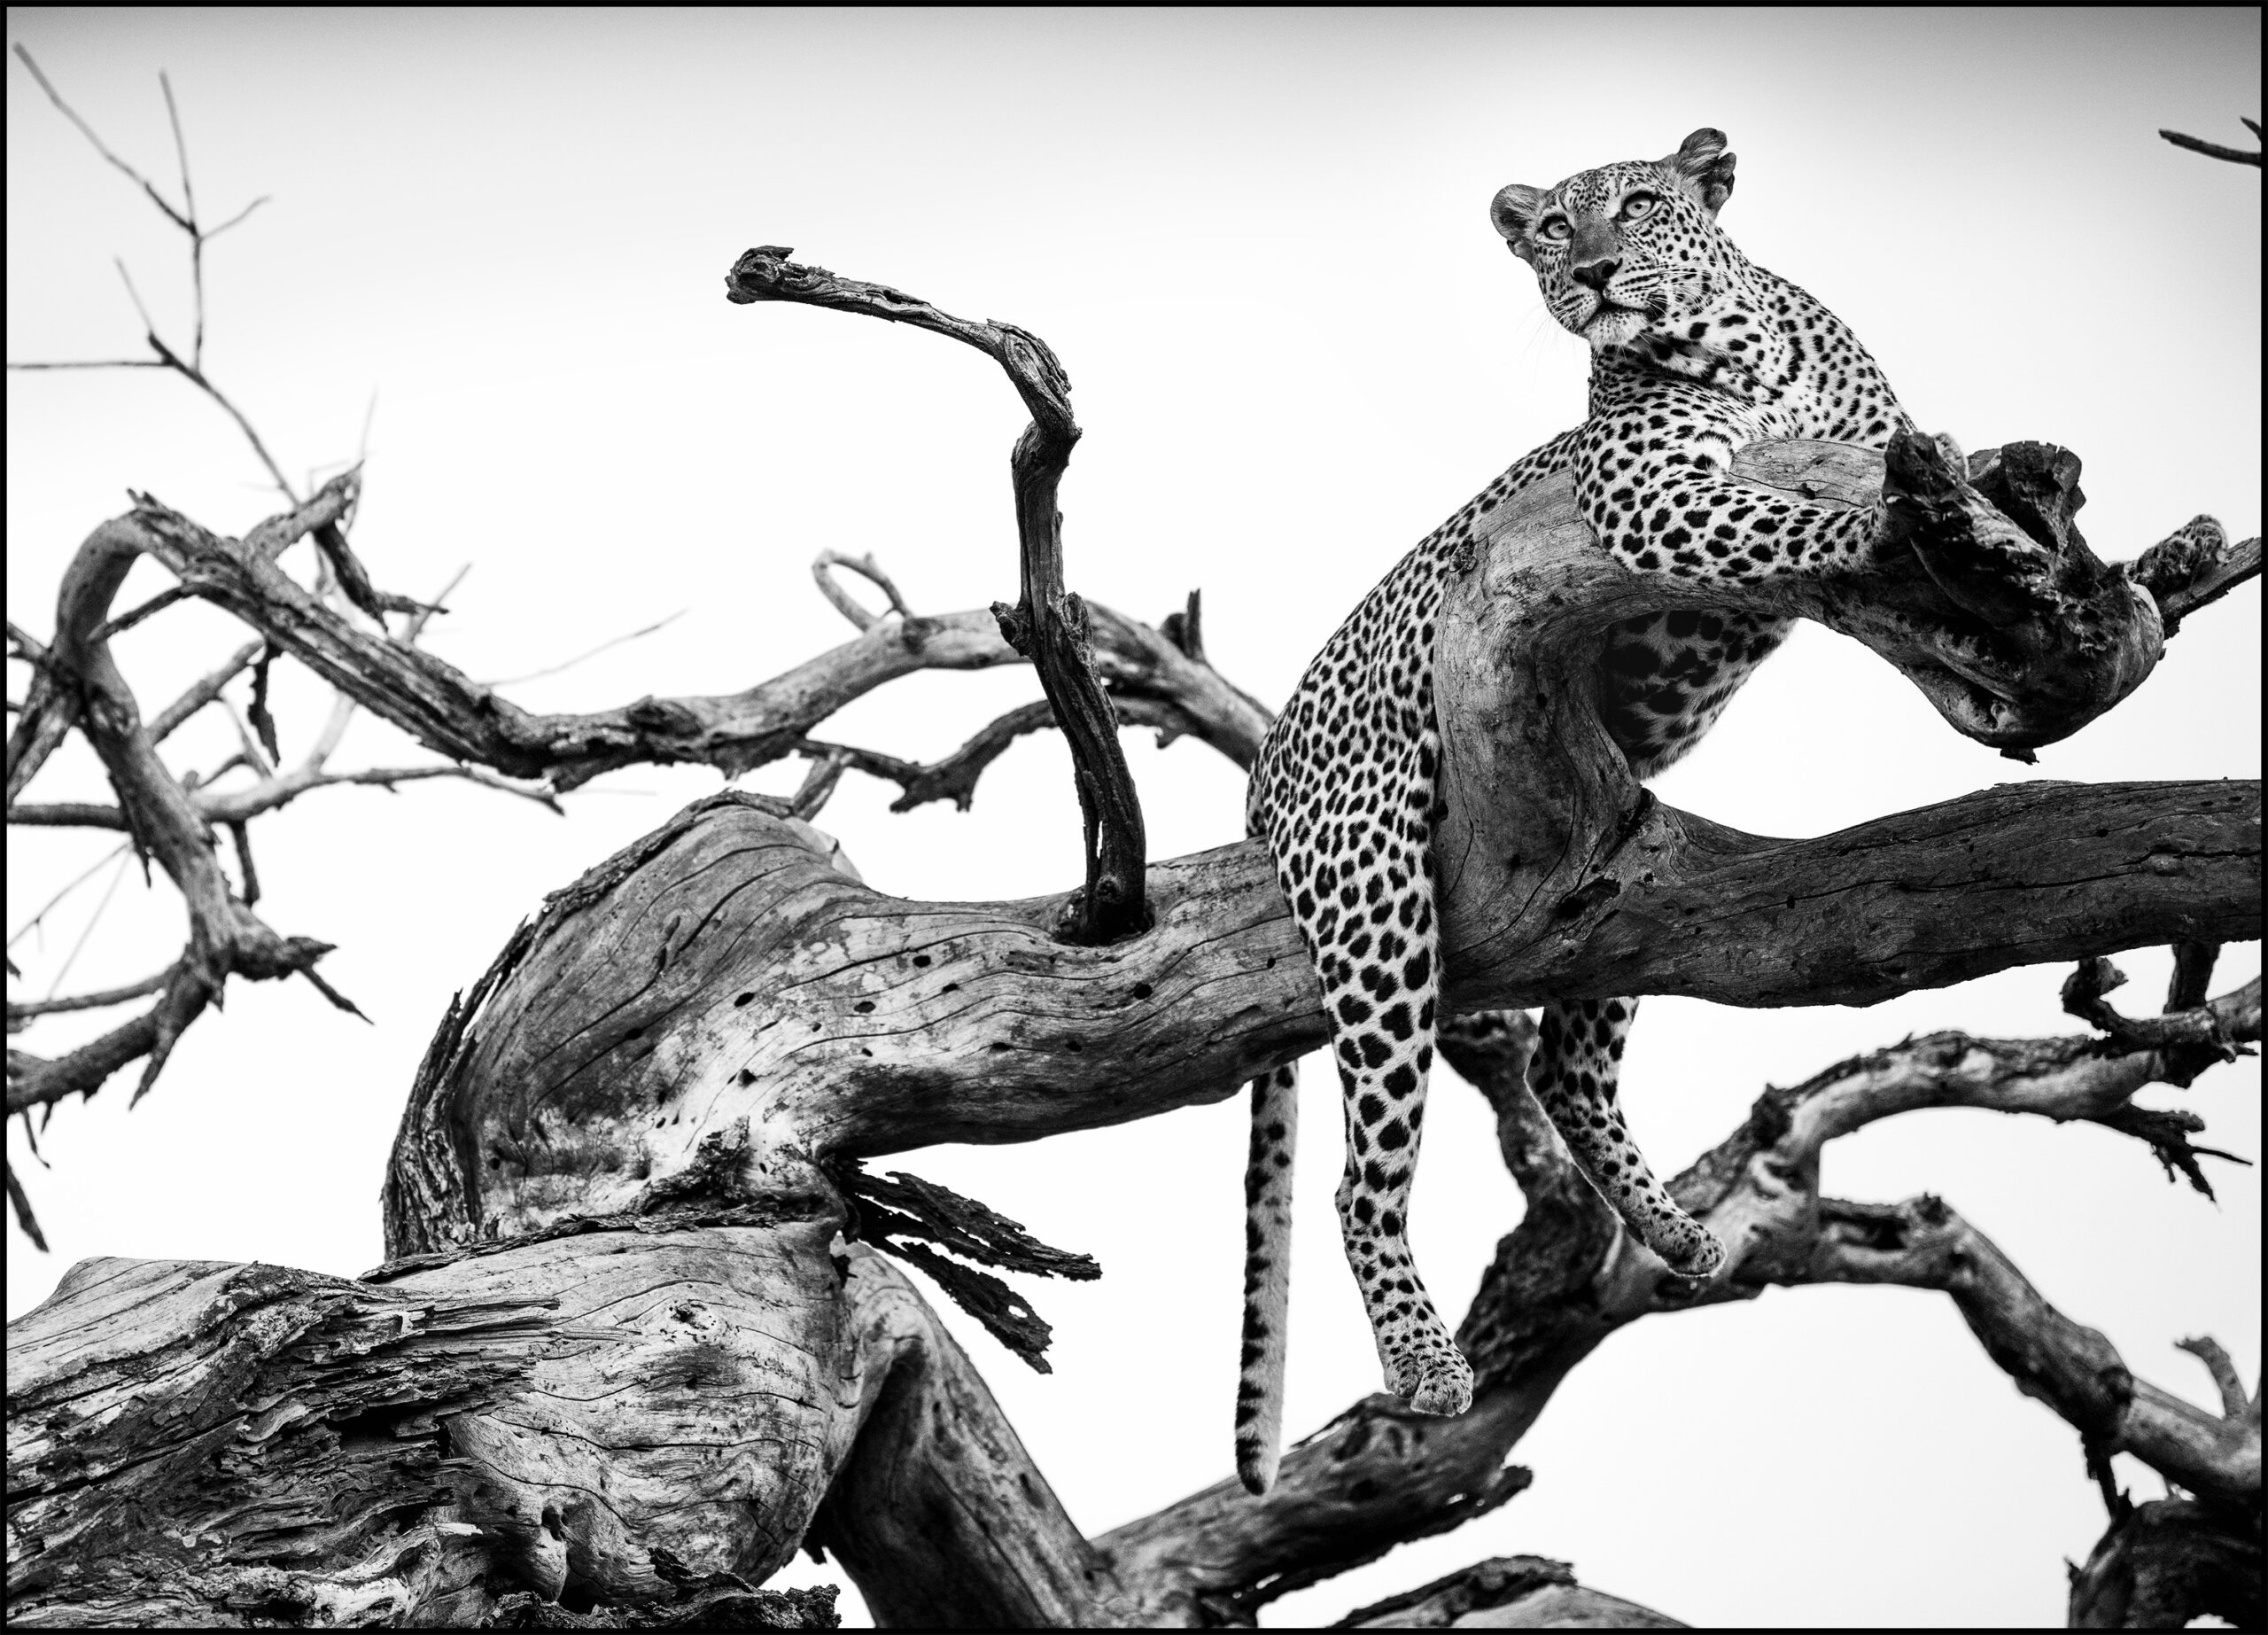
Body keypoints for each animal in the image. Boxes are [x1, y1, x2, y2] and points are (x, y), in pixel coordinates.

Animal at [1234, 128, 1944, 1495]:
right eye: (1556, 228)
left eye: (1644, 204)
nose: (1600, 272)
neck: (1742, 351)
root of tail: (1264, 765)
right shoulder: (1653, 497)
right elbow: (1793, 521)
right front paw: (1874, 533)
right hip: (1379, 892)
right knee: (1363, 1177)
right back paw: (1428, 1364)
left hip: (1618, 892)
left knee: (1566, 1069)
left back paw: (1675, 1231)